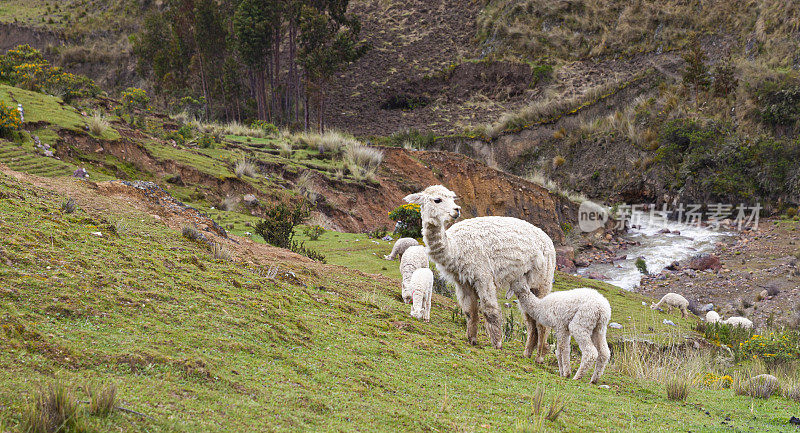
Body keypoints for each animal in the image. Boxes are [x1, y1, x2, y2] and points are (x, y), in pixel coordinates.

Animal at [406, 183, 556, 358]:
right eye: (437, 200)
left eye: (452, 198)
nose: (457, 210)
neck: (456, 248)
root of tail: (548, 239)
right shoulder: (463, 280)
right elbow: (469, 311)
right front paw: (472, 339)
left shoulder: (483, 274)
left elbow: (490, 311)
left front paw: (497, 345)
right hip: (525, 282)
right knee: (531, 317)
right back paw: (527, 353)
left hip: (543, 280)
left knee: (540, 318)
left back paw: (539, 357)